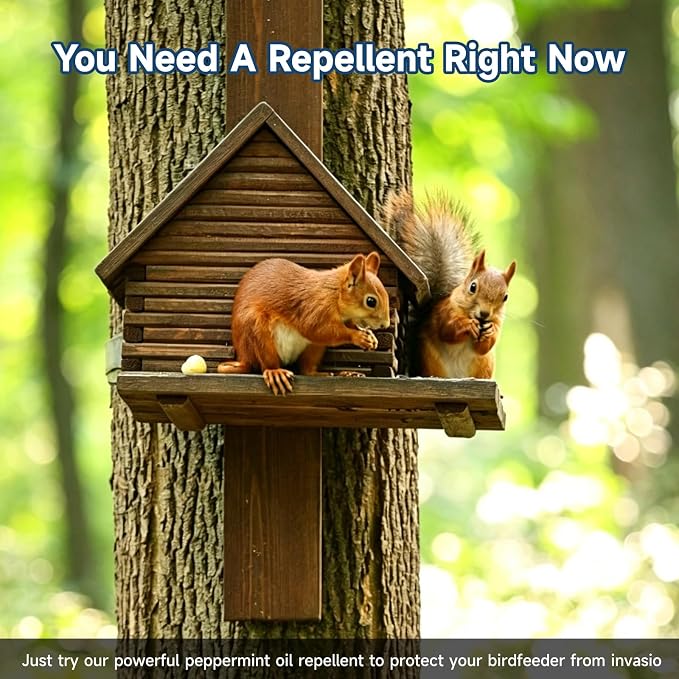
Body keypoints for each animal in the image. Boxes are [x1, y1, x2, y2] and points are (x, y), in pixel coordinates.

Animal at [217, 253, 391, 394]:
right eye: (371, 301)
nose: (386, 325)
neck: (334, 293)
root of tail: (243, 357)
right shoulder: (314, 309)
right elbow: (318, 330)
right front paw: (358, 337)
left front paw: (371, 338)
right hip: (256, 329)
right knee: (267, 363)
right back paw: (275, 372)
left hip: (314, 348)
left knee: (307, 370)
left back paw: (332, 374)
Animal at [384, 190, 516, 379]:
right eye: (473, 287)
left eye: (505, 297)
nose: (484, 314)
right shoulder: (444, 312)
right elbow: (447, 330)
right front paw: (467, 325)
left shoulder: (497, 322)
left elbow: (484, 346)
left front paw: (489, 332)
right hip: (431, 360)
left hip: (485, 364)